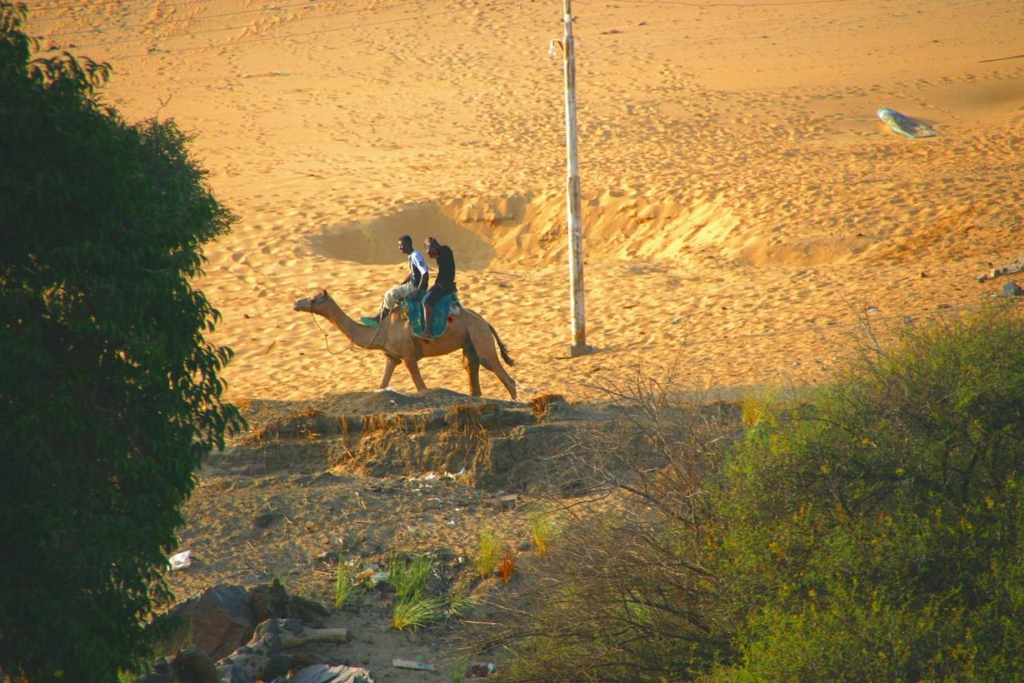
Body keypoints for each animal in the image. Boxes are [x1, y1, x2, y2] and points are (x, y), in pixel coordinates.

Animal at [294, 288, 520, 401]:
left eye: (314, 299)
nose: (296, 303)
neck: (382, 329)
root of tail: (487, 323)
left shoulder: (409, 356)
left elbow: (422, 388)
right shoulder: (392, 357)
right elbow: (382, 385)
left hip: (480, 337)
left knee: (499, 371)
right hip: (470, 342)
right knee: (471, 369)